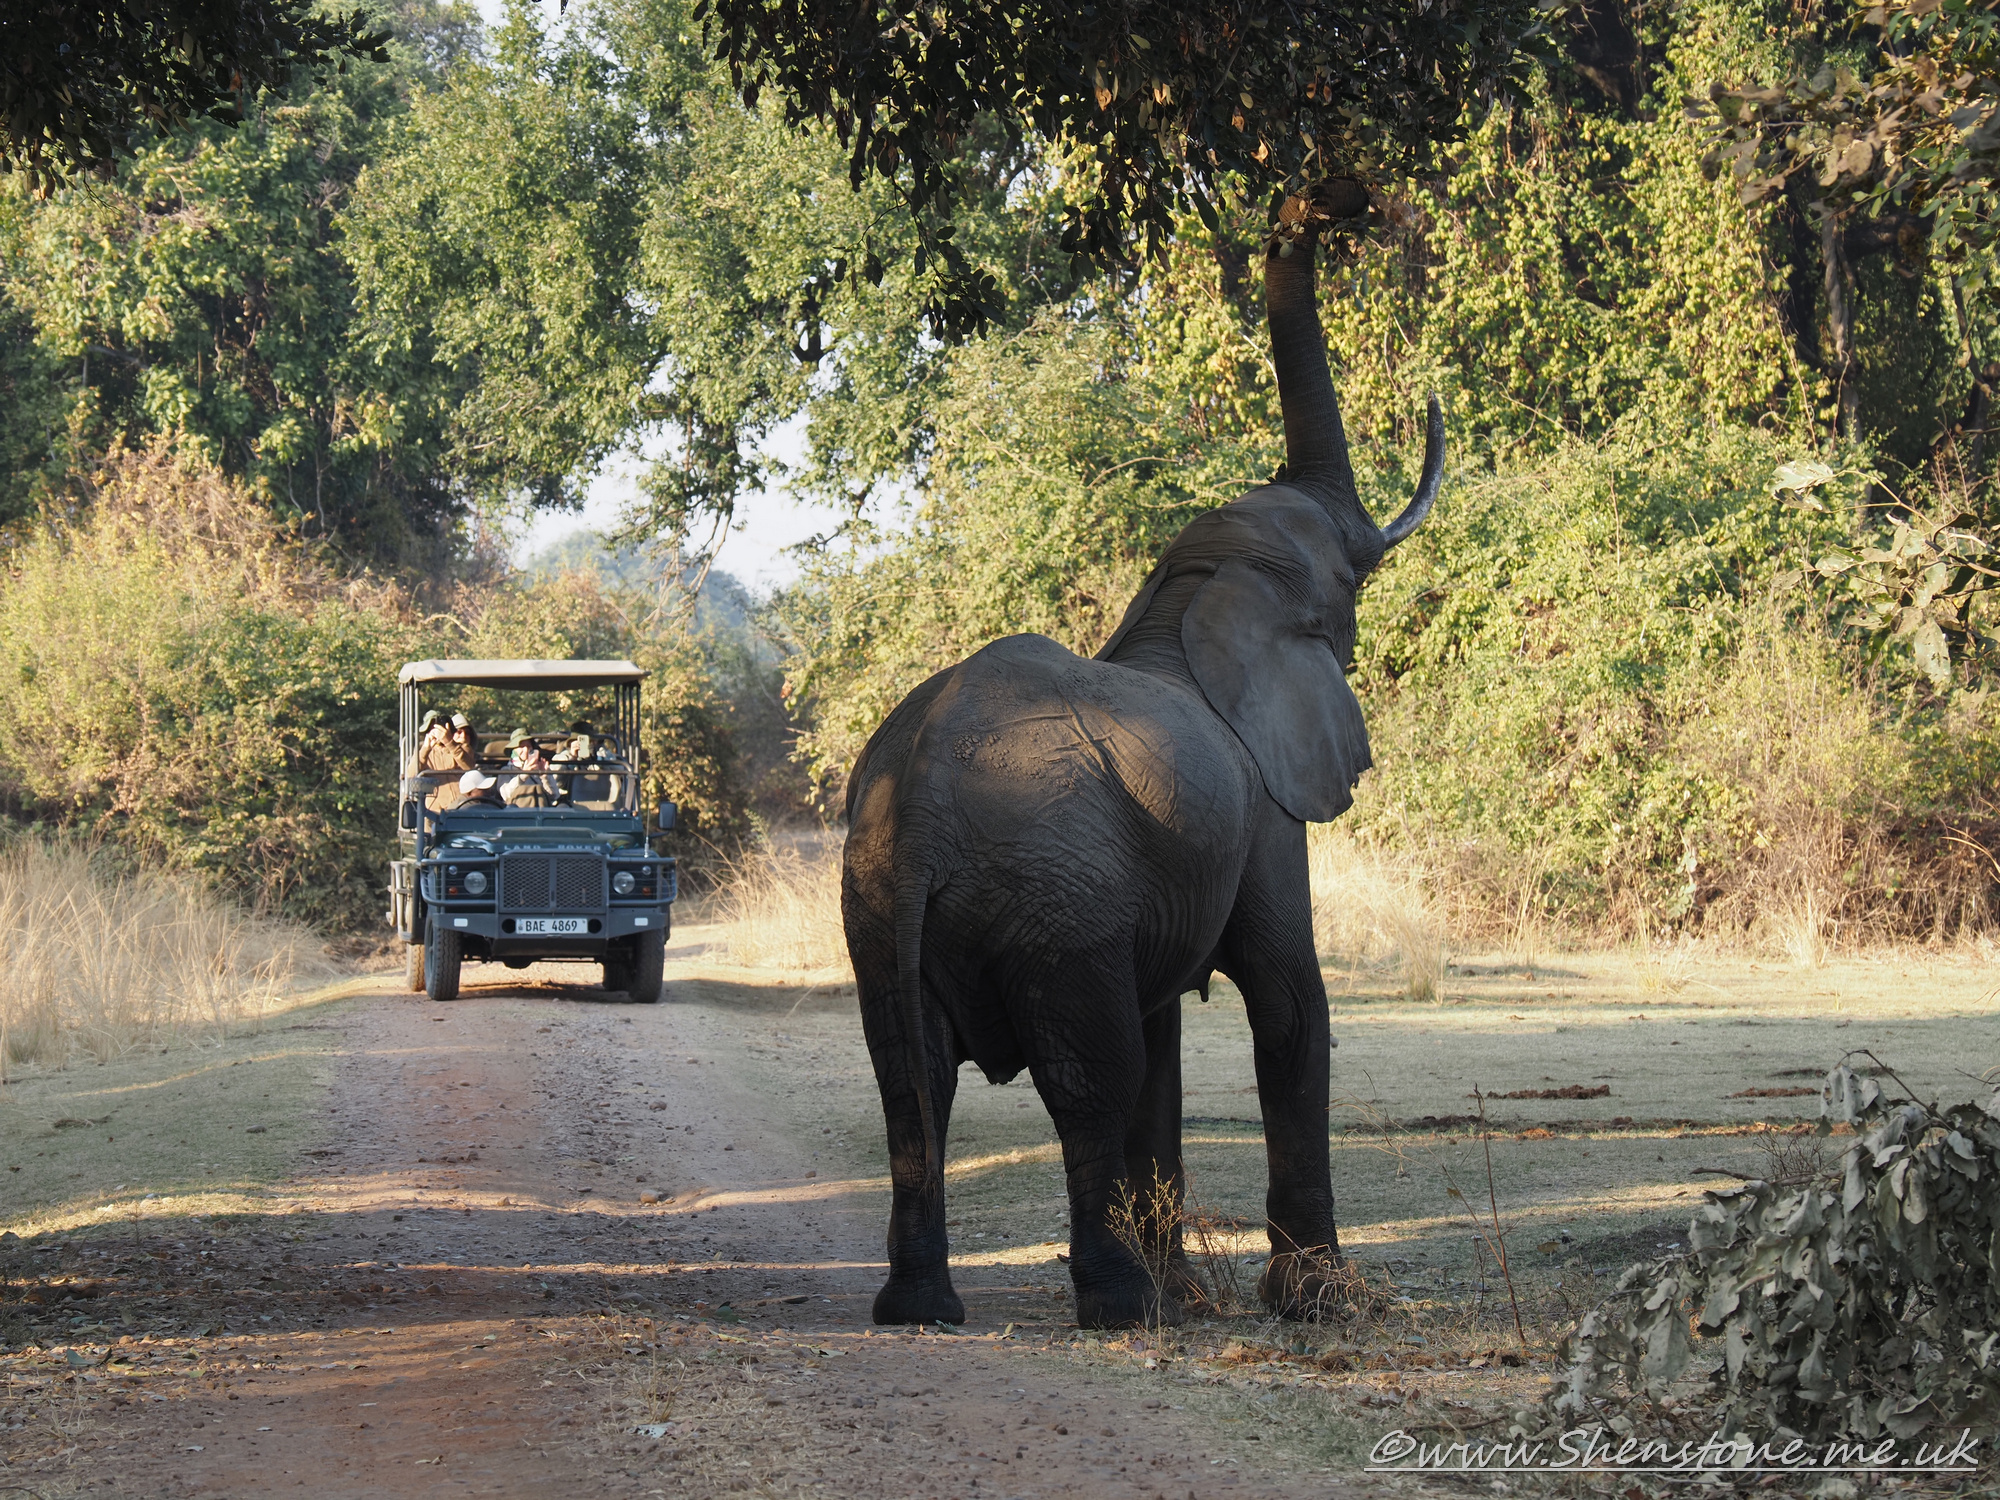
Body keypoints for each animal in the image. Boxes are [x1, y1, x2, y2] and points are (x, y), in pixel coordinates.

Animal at [840, 196, 1443, 1330]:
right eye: (1343, 581)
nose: (1302, 205)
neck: (1187, 596)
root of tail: (925, 805)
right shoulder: (1263, 809)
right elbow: (1287, 997)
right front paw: (1315, 1301)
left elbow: (1167, 1028)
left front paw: (1200, 1293)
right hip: (1056, 896)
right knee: (1088, 1080)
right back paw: (1118, 1306)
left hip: (888, 906)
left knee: (912, 1076)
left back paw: (922, 1308)